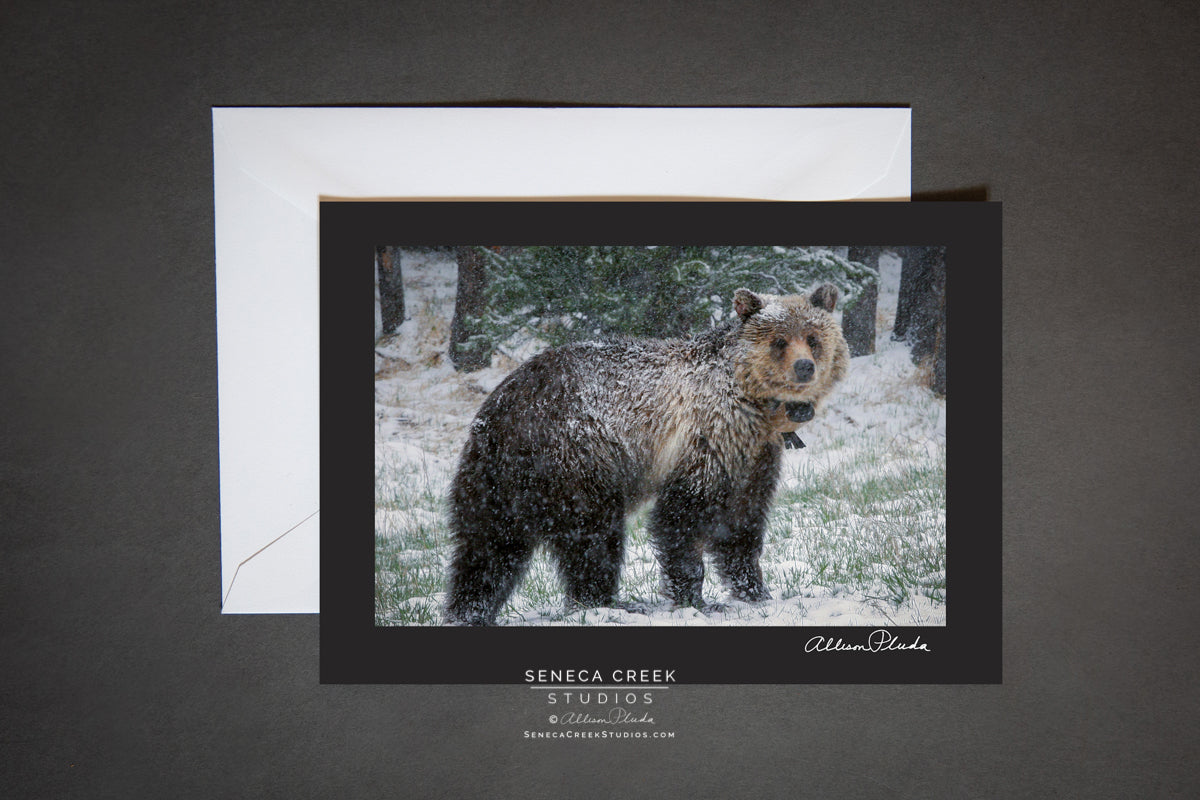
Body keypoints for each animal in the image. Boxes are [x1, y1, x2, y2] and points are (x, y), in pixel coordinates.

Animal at [444, 285, 850, 625]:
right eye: (779, 341)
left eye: (813, 338)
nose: (804, 366)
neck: (756, 407)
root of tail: (499, 415)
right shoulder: (706, 440)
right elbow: (681, 519)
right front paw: (693, 598)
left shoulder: (754, 456)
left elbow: (742, 522)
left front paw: (756, 590)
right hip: (575, 460)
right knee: (591, 538)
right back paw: (608, 603)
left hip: (493, 484)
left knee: (487, 549)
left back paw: (469, 610)